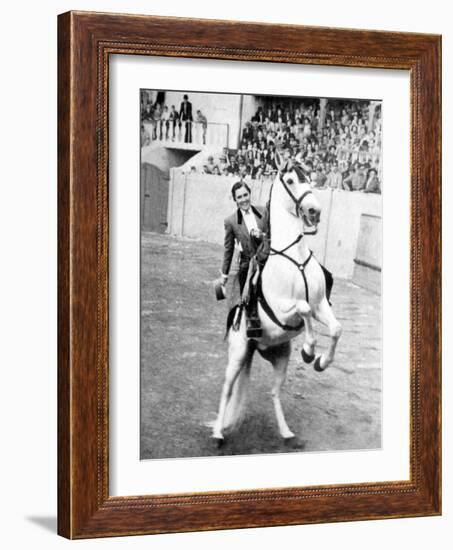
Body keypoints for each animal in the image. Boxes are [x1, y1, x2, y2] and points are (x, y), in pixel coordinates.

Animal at [210, 163, 340, 444]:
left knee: (274, 392)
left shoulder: (321, 305)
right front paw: (309, 350)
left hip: (280, 358)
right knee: (227, 388)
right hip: (237, 354)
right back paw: (218, 432)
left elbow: (335, 328)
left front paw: (320, 361)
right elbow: (302, 309)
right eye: (290, 180)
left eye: (310, 177)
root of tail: (255, 346)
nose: (314, 211)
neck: (294, 257)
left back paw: (285, 431)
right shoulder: (283, 309)